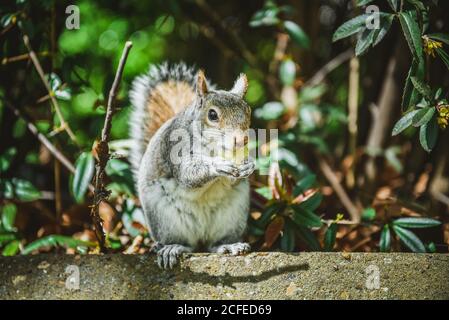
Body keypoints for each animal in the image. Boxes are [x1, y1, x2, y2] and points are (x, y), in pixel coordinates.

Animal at [130, 62, 256, 268]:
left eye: (248, 111)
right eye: (212, 115)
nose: (241, 140)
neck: (212, 147)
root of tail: (201, 235)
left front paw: (250, 165)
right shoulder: (175, 150)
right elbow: (188, 175)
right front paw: (218, 165)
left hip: (232, 216)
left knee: (213, 245)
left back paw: (228, 246)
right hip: (166, 219)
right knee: (186, 245)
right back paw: (173, 248)